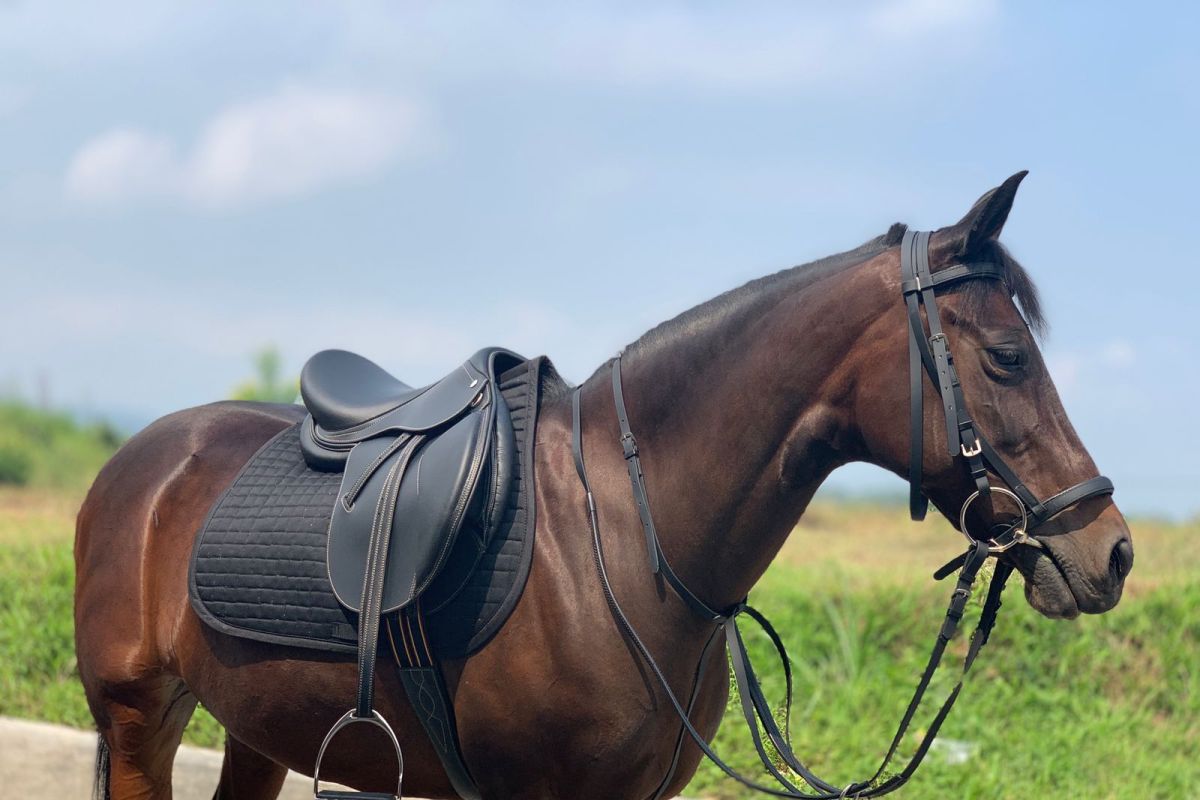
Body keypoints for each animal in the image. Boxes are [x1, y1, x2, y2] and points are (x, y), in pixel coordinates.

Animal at [75, 175, 1132, 800]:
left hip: (254, 726)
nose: (1112, 549)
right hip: (136, 719)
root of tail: (144, 458)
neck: (629, 545)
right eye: (1007, 357)